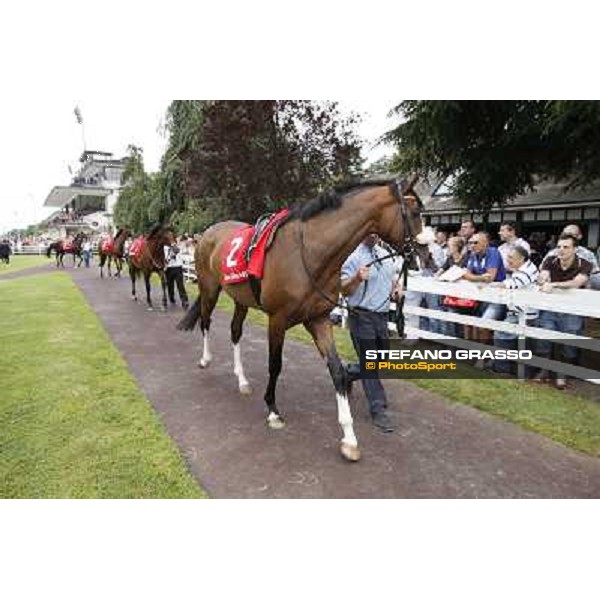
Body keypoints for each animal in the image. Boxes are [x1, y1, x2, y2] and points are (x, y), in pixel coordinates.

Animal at [176, 176, 428, 462]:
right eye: (414, 213)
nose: (424, 256)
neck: (308, 253)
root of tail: (209, 232)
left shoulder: (318, 320)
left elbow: (337, 371)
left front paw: (349, 439)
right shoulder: (277, 320)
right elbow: (275, 365)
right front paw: (273, 411)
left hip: (240, 298)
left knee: (235, 331)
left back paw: (242, 380)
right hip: (210, 289)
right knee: (206, 322)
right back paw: (206, 359)